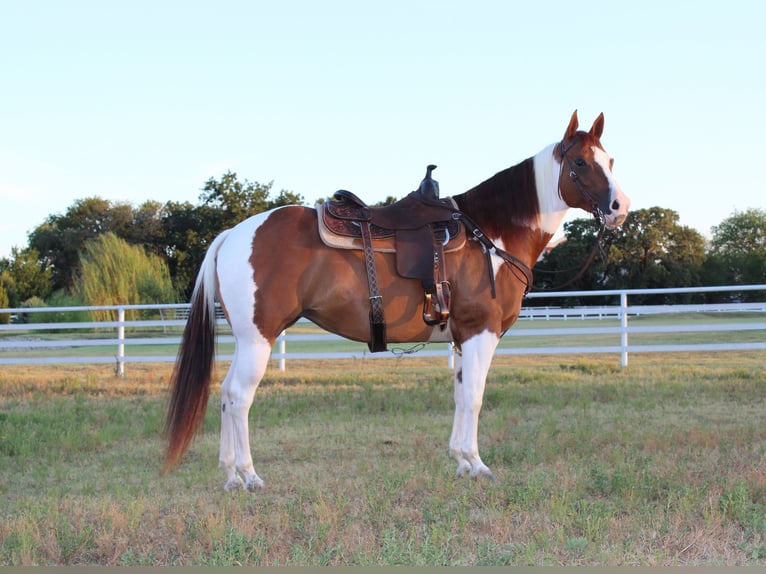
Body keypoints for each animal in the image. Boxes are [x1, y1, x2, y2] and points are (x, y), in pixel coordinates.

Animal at [162, 110, 632, 492]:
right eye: (579, 162)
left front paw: (461, 462)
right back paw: (248, 476)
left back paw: (230, 475)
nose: (619, 207)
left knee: (225, 395)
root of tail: (232, 234)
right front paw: (478, 465)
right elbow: (475, 397)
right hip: (259, 338)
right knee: (239, 397)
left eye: (609, 161)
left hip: (248, 340)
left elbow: (460, 394)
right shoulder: (480, 333)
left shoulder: (461, 338)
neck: (490, 234)